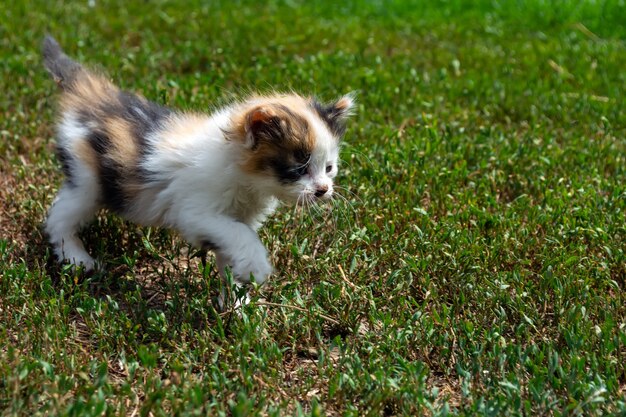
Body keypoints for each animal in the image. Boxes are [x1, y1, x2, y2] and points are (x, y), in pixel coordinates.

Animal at [40, 37, 352, 294]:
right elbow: (242, 236)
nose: (323, 190)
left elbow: (232, 249)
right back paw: (77, 258)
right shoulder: (195, 212)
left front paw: (236, 306)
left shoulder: (236, 216)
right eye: (299, 168)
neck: (245, 179)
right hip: (87, 180)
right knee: (58, 218)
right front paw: (257, 269)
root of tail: (89, 93)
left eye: (329, 168)